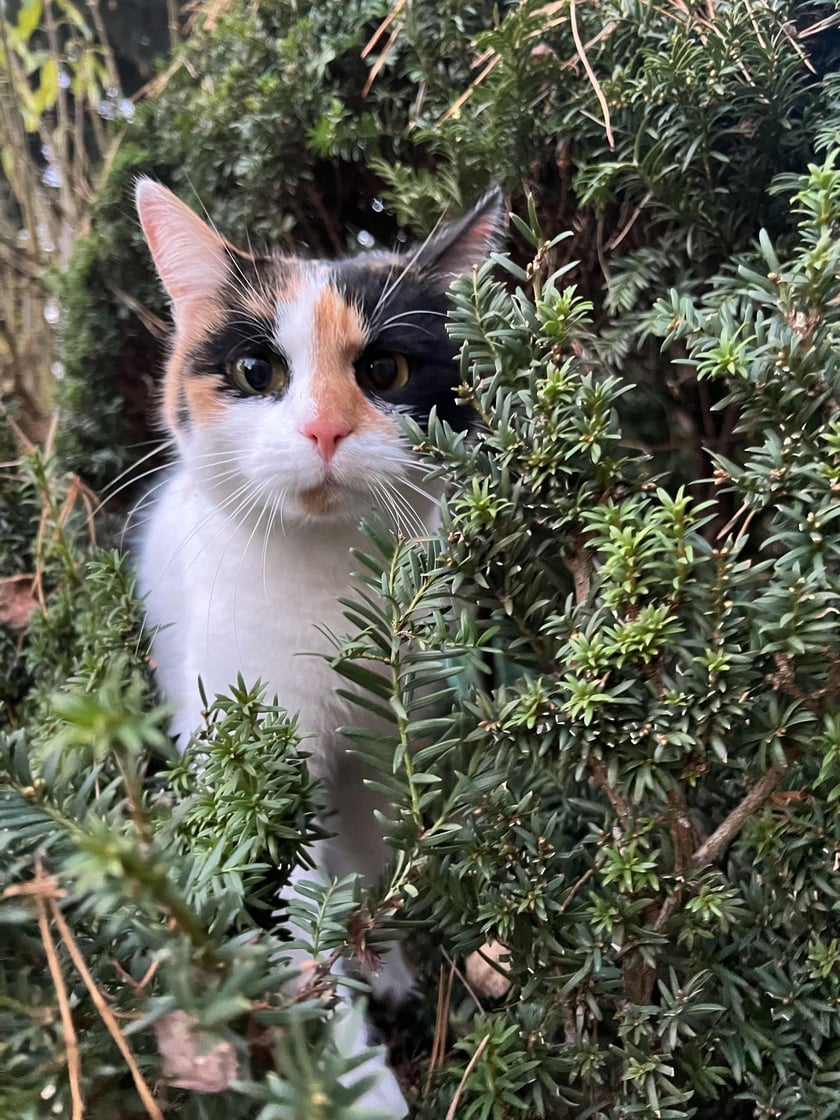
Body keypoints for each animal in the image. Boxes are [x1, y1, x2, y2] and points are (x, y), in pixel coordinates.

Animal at [134, 179, 504, 1115]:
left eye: (387, 372)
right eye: (256, 372)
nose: (326, 431)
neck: (332, 586)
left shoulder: (396, 740)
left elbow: (387, 860)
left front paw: (392, 961)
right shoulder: (257, 749)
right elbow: (303, 914)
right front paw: (355, 1087)